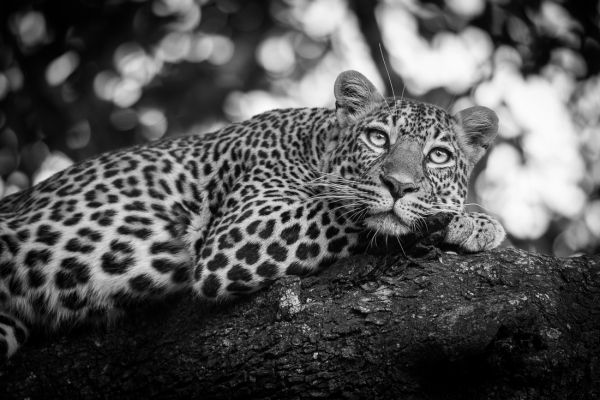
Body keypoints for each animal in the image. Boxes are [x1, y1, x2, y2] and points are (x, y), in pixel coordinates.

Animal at [0, 70, 506, 360]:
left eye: (438, 156)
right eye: (378, 138)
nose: (399, 185)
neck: (315, 141)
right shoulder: (241, 231)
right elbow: (349, 210)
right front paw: (471, 223)